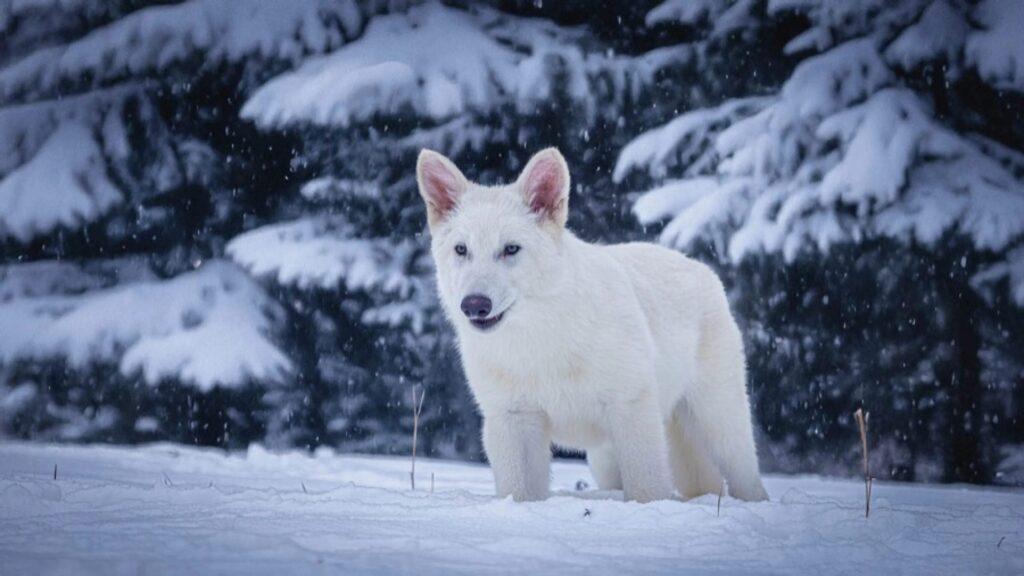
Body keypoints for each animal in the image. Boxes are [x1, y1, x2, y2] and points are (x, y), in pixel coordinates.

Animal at [416, 147, 768, 503]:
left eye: (511, 249)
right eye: (462, 250)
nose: (474, 305)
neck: (540, 343)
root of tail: (700, 267)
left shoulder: (631, 408)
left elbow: (646, 489)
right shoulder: (513, 420)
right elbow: (520, 493)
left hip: (719, 423)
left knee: (747, 478)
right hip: (610, 457)